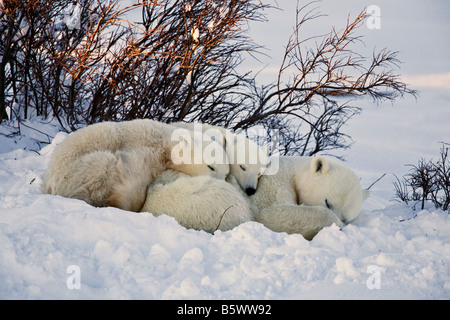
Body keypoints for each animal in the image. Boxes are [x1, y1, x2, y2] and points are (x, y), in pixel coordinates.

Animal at [41, 119, 229, 211]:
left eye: (226, 172)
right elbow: (132, 182)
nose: (223, 183)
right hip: (78, 171)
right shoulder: (141, 152)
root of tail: (48, 184)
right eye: (211, 167)